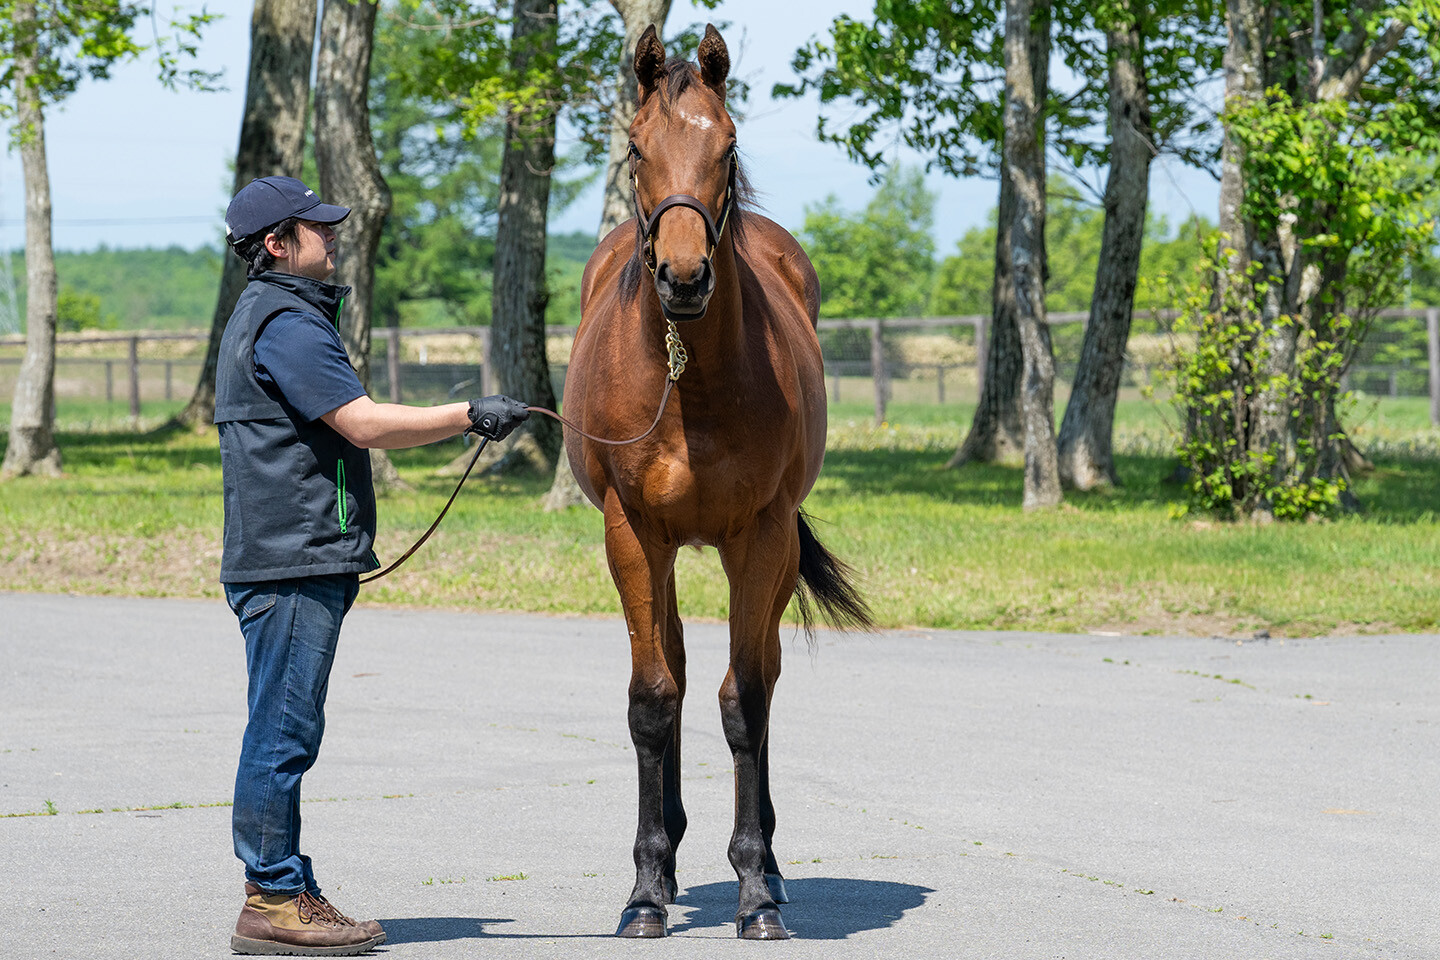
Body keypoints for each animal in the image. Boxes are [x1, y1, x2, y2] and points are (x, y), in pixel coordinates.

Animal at [562, 24, 874, 941]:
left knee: (761, 672)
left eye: (727, 145)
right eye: (636, 147)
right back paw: (667, 859)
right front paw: (643, 889)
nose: (684, 276)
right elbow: (652, 697)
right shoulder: (632, 533)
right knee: (671, 665)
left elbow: (747, 701)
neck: (690, 382)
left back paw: (767, 858)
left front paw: (755, 889)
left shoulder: (760, 535)